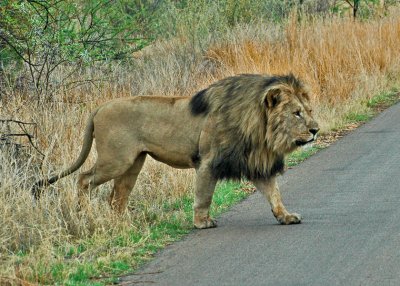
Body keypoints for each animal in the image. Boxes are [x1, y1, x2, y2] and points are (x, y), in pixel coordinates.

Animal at [32, 73, 318, 228]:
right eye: (296, 113)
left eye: (309, 110)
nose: (316, 130)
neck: (260, 130)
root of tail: (99, 107)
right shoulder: (208, 161)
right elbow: (204, 196)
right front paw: (202, 223)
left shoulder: (256, 163)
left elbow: (274, 194)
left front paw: (286, 216)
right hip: (116, 159)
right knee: (84, 179)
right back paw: (83, 214)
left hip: (134, 163)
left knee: (116, 196)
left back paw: (121, 223)